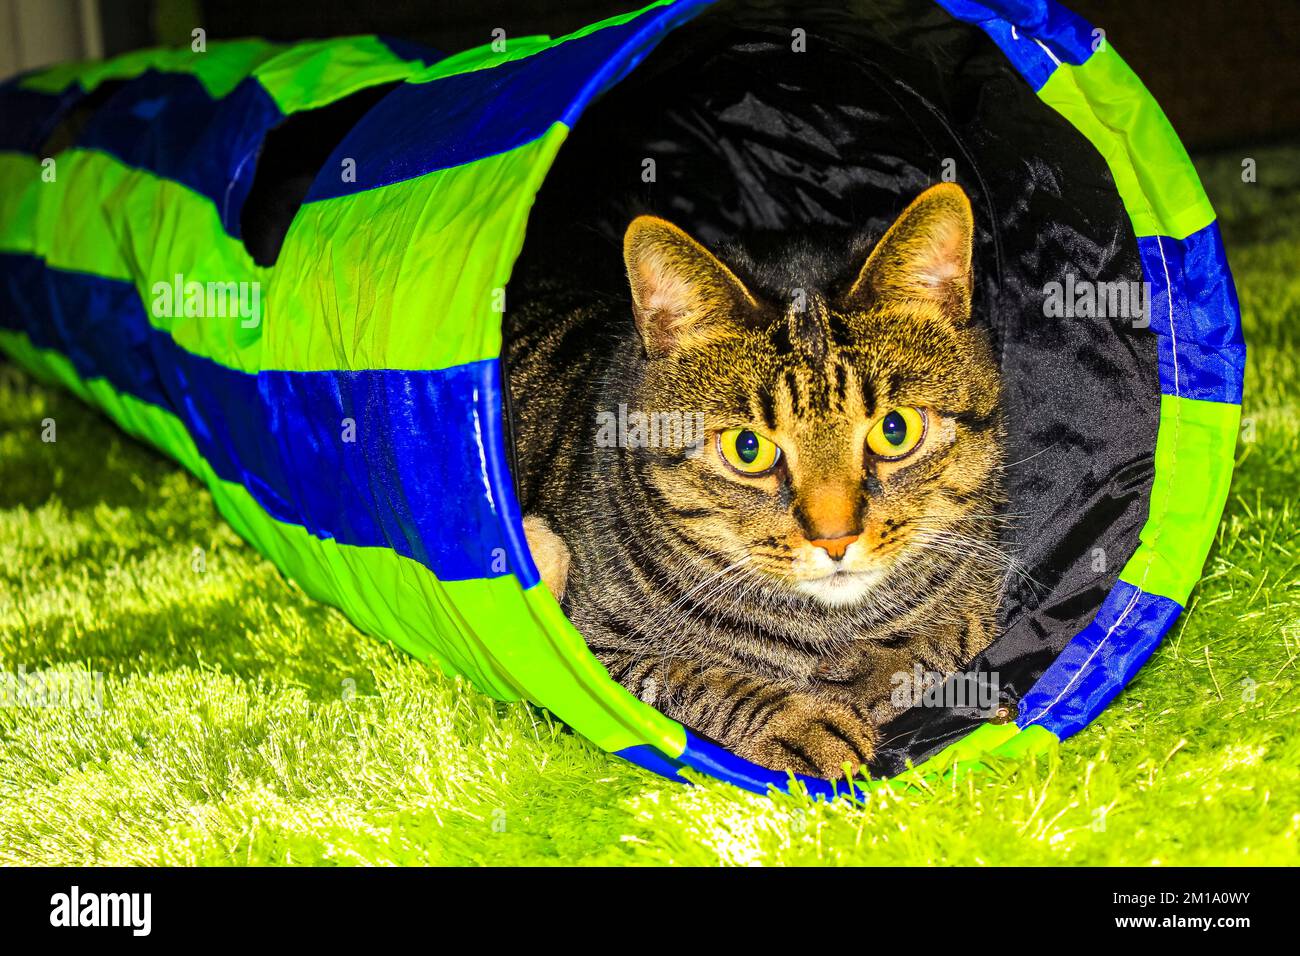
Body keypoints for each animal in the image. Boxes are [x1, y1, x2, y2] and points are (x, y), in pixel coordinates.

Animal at [504, 183, 1003, 780]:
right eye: (749, 448)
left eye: (895, 429)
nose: (835, 538)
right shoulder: (594, 647)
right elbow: (689, 676)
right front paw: (804, 724)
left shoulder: (984, 583)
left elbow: (946, 636)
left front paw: (874, 677)